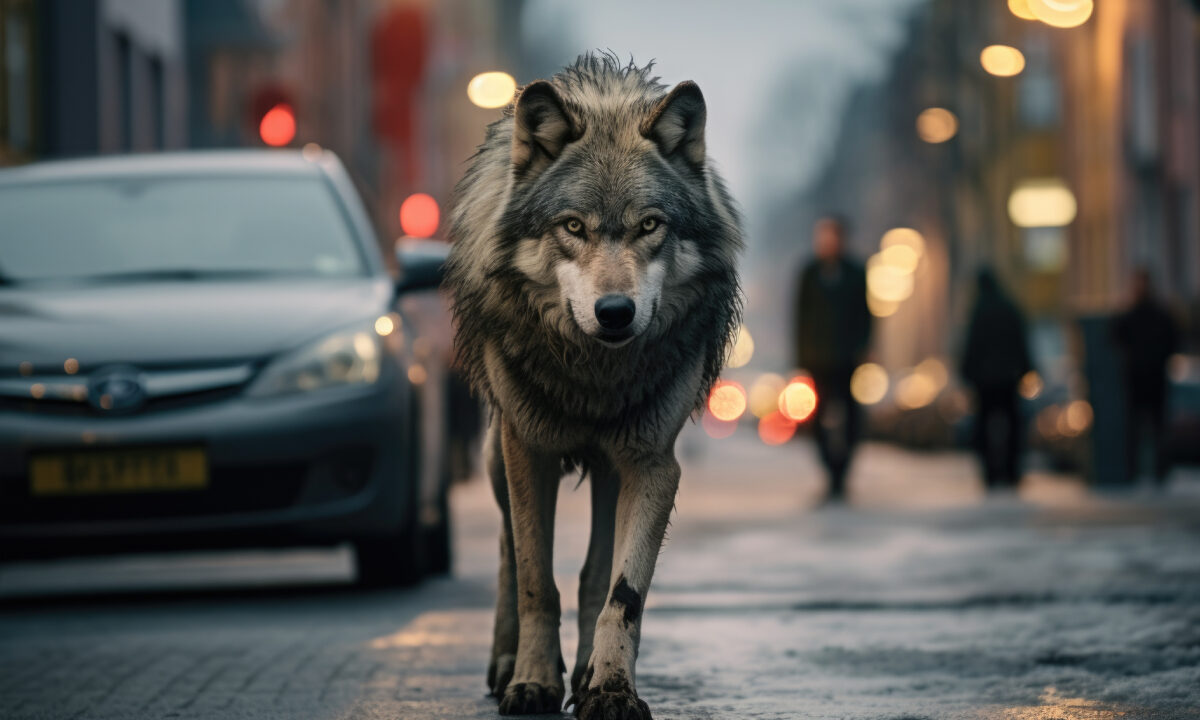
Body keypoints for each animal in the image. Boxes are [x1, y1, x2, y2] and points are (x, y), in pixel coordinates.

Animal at [445, 53, 742, 719]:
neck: (594, 379)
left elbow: (621, 593)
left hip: (612, 468)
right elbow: (535, 579)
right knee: (506, 552)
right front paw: (531, 682)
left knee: (592, 574)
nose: (614, 312)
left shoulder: (653, 463)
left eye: (650, 225)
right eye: (573, 226)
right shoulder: (529, 452)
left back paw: (582, 672)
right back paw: (505, 663)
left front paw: (609, 688)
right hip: (499, 455)